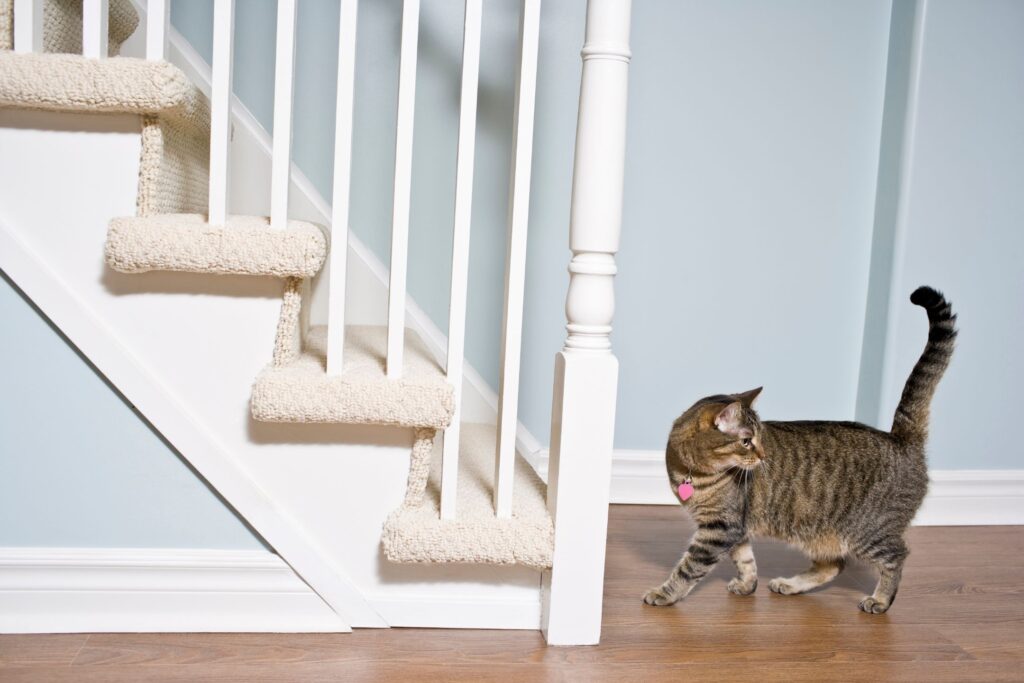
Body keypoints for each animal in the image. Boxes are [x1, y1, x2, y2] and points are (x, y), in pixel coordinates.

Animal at [643, 284, 954, 614]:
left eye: (758, 438)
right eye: (747, 441)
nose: (763, 455)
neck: (691, 471)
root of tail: (900, 438)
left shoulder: (720, 528)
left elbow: (688, 568)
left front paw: (665, 593)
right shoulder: (735, 528)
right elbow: (745, 559)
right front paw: (747, 584)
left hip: (870, 531)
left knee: (897, 557)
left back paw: (880, 599)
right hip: (820, 535)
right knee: (833, 566)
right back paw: (791, 585)